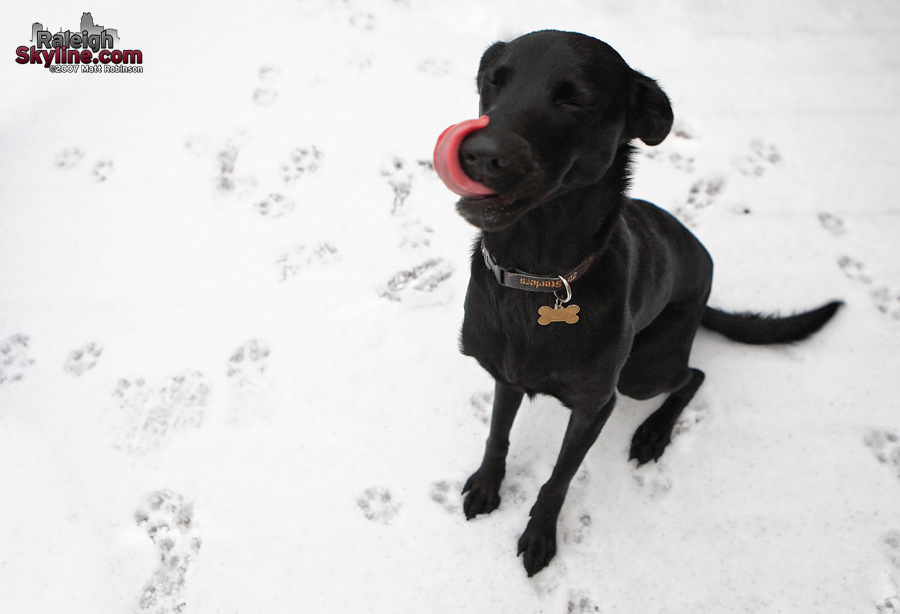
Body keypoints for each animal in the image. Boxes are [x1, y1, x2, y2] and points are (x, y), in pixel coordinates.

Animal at [450, 30, 844, 576]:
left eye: (575, 99)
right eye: (494, 81)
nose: (479, 154)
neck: (537, 275)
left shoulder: (597, 404)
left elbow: (559, 478)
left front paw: (539, 535)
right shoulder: (505, 374)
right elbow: (496, 435)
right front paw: (488, 486)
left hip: (641, 373)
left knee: (694, 375)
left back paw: (654, 433)